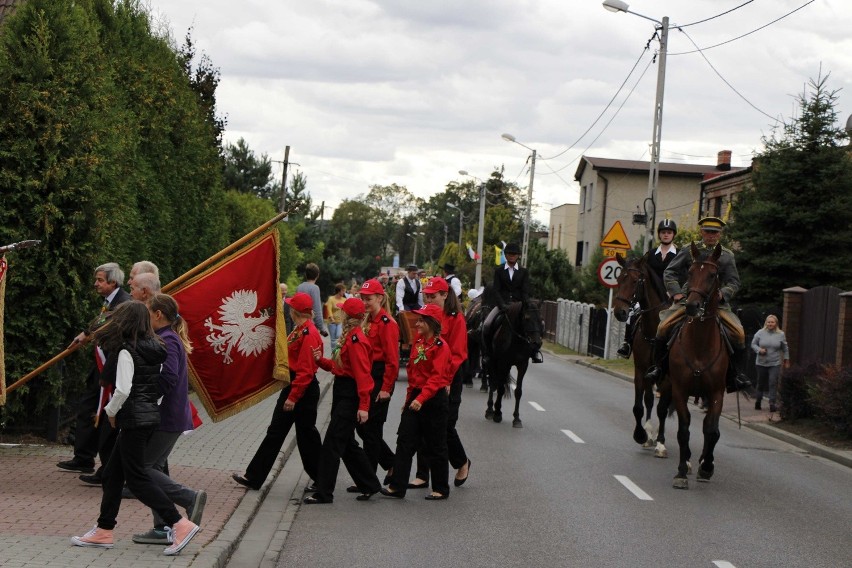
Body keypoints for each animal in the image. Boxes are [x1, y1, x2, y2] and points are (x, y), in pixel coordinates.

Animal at [482, 300, 544, 428]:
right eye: (527, 318)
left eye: (541, 319)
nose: (537, 343)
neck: (517, 339)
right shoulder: (502, 363)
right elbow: (500, 388)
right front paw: (497, 413)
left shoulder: (522, 365)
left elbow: (518, 391)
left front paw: (516, 418)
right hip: (493, 362)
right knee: (493, 383)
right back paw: (490, 410)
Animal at [612, 255, 672, 460]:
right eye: (618, 278)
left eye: (635, 281)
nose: (620, 312)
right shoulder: (641, 370)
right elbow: (640, 405)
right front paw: (641, 435)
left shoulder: (666, 377)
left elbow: (662, 409)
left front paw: (661, 443)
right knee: (649, 400)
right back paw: (649, 434)